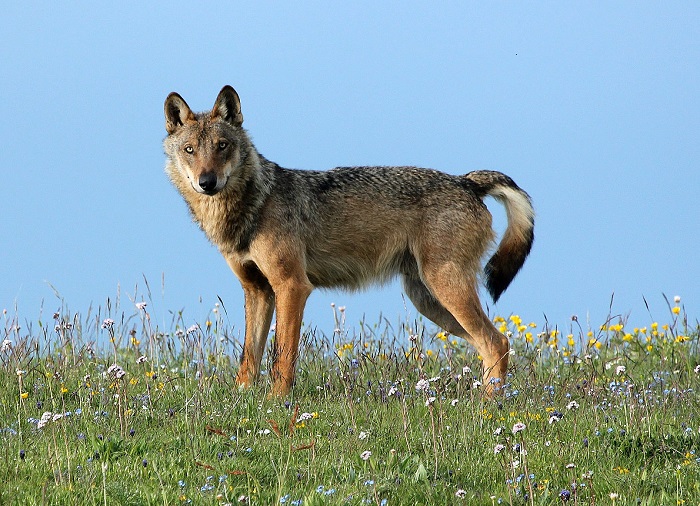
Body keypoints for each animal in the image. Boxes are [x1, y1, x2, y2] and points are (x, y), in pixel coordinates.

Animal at [163, 85, 534, 397]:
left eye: (222, 146)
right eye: (190, 150)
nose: (207, 182)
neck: (253, 205)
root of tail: (467, 181)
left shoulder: (292, 286)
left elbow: (283, 357)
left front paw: (278, 402)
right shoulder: (257, 291)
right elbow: (249, 356)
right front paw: (243, 399)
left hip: (445, 289)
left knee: (496, 342)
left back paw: (487, 408)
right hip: (429, 301)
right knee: (493, 344)